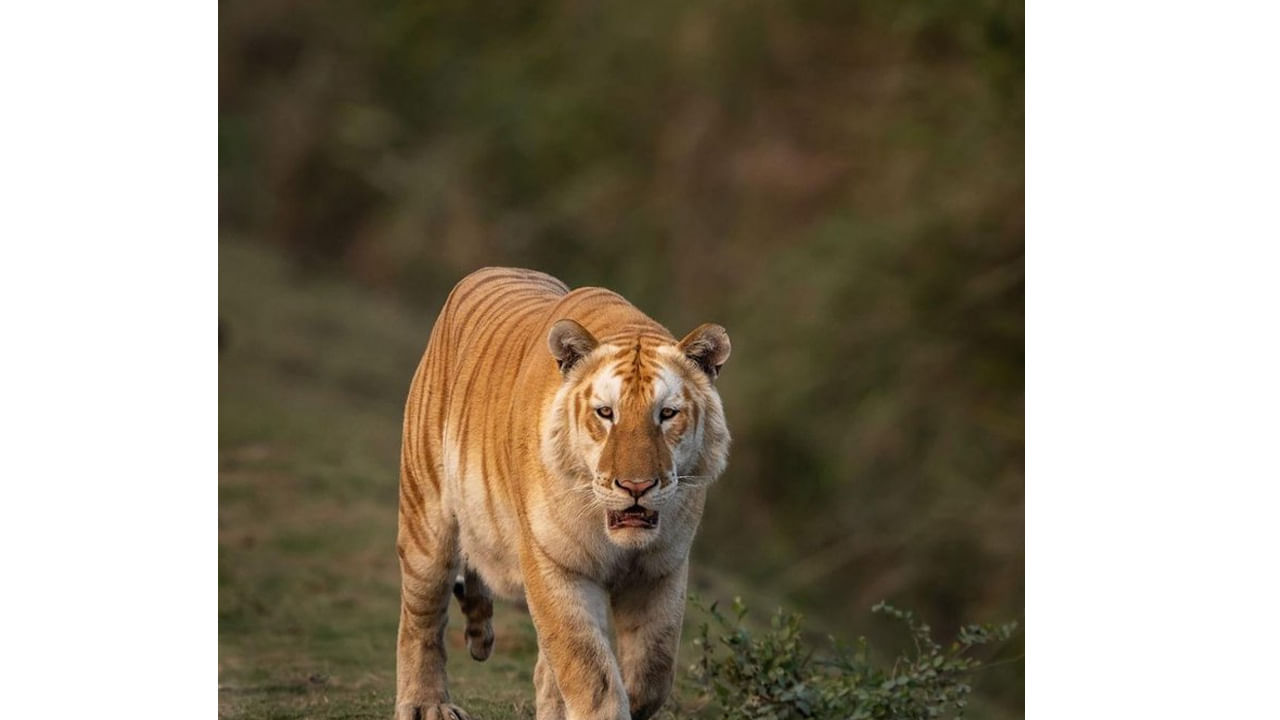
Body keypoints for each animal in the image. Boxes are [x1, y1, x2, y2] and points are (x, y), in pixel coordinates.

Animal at [394, 265, 732, 717]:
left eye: (667, 414)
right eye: (605, 413)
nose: (637, 486)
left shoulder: (662, 569)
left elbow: (651, 673)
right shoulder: (554, 563)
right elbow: (590, 672)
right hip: (426, 522)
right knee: (422, 618)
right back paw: (426, 705)